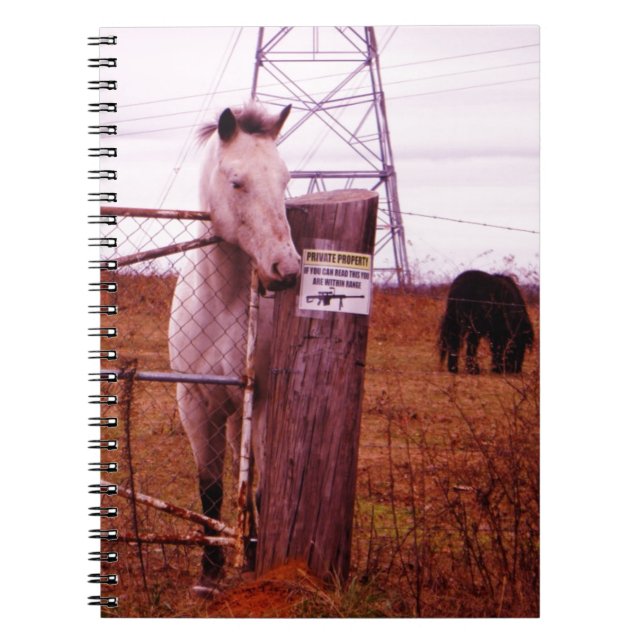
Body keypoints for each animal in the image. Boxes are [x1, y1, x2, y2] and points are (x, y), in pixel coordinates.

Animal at [168, 103, 300, 596]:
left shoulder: (258, 402)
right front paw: (208, 574)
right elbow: (210, 488)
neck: (222, 301)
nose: (287, 268)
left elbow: (256, 486)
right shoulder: (194, 401)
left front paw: (254, 559)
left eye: (284, 179)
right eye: (237, 181)